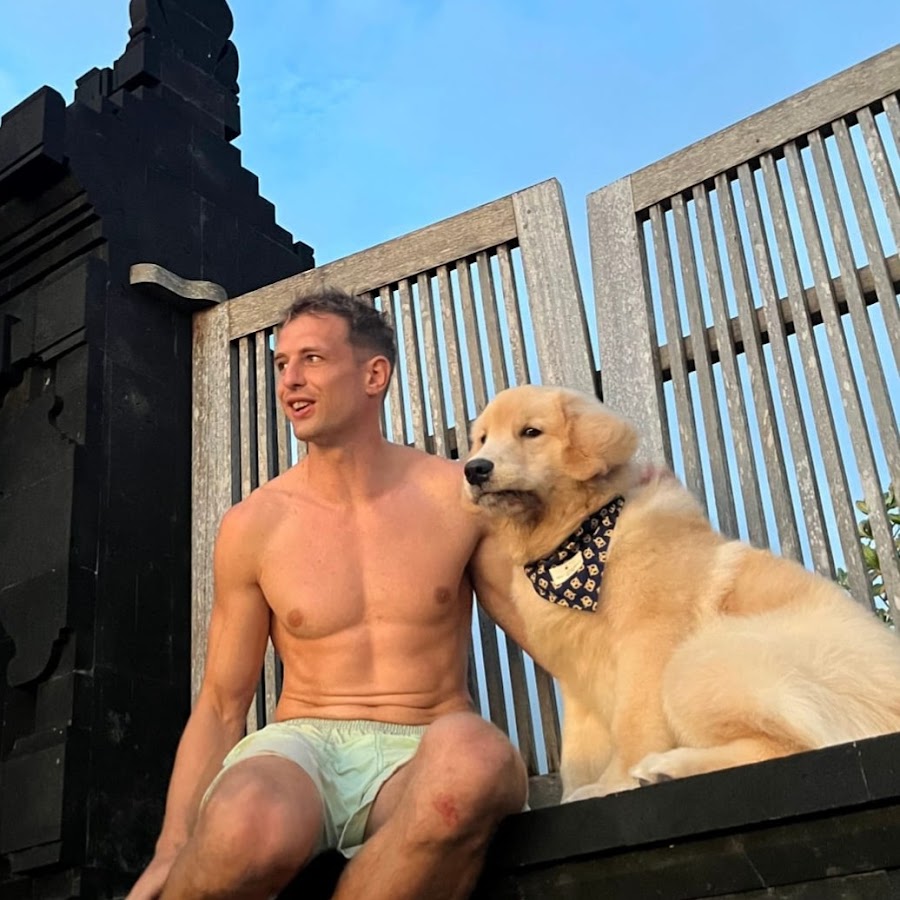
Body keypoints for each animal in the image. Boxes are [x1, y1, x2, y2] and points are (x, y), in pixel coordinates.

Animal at [464, 384, 900, 801]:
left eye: (530, 432)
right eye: (482, 439)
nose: (474, 469)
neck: (573, 541)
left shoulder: (647, 645)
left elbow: (633, 726)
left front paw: (613, 784)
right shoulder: (577, 682)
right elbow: (579, 753)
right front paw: (582, 790)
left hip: (698, 660)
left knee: (801, 747)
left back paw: (667, 768)